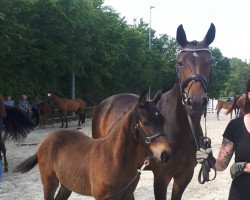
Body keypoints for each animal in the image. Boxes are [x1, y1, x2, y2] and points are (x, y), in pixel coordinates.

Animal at [14, 90, 171, 200]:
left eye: (163, 119)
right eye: (144, 122)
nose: (165, 154)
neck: (114, 159)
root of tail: (46, 139)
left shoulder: (127, 195)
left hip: (66, 183)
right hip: (49, 182)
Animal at [92, 22, 215, 199]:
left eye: (210, 62)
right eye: (179, 63)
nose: (196, 102)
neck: (180, 128)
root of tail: (106, 103)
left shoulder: (184, 176)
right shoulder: (161, 177)